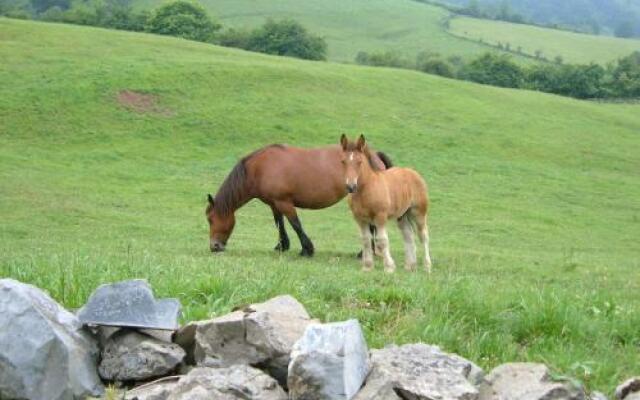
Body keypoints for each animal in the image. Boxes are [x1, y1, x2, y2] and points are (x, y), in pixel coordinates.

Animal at [208, 144, 392, 256]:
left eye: (210, 219)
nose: (214, 246)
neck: (260, 168)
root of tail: (373, 155)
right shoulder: (274, 203)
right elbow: (280, 223)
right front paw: (282, 245)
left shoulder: (284, 202)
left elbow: (295, 223)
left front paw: (306, 249)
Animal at [340, 134, 430, 272]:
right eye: (343, 161)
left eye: (360, 162)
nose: (351, 186)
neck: (366, 189)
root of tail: (413, 173)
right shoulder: (360, 219)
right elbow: (366, 240)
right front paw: (367, 267)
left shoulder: (380, 217)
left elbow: (382, 240)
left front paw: (389, 267)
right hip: (402, 216)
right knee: (408, 235)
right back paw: (410, 266)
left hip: (418, 212)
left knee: (423, 235)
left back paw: (427, 266)